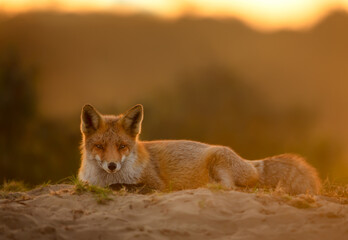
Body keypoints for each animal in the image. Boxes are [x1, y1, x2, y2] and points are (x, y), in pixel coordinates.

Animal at [78, 104, 320, 194]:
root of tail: (250, 162)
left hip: (217, 160)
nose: (111, 165)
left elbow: (121, 186)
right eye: (99, 146)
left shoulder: (156, 185)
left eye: (122, 146)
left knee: (229, 188)